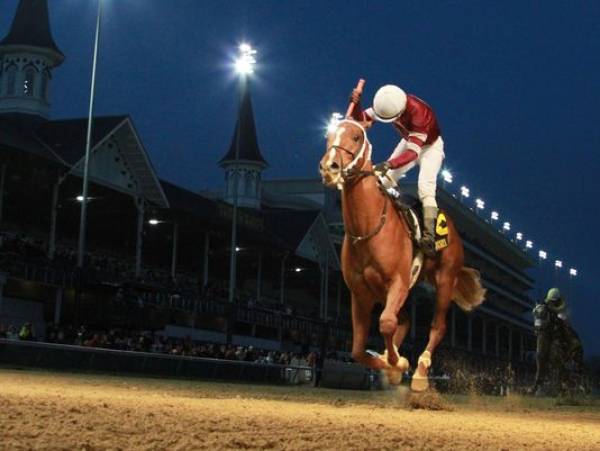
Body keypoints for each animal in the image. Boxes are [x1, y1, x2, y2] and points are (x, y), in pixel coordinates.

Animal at [318, 120, 482, 392]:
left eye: (356, 136)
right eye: (329, 135)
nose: (329, 167)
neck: (369, 226)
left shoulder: (398, 282)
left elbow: (386, 323)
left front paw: (399, 363)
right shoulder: (361, 292)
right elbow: (358, 349)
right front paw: (390, 364)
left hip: (445, 279)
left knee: (437, 326)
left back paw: (421, 371)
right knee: (403, 319)